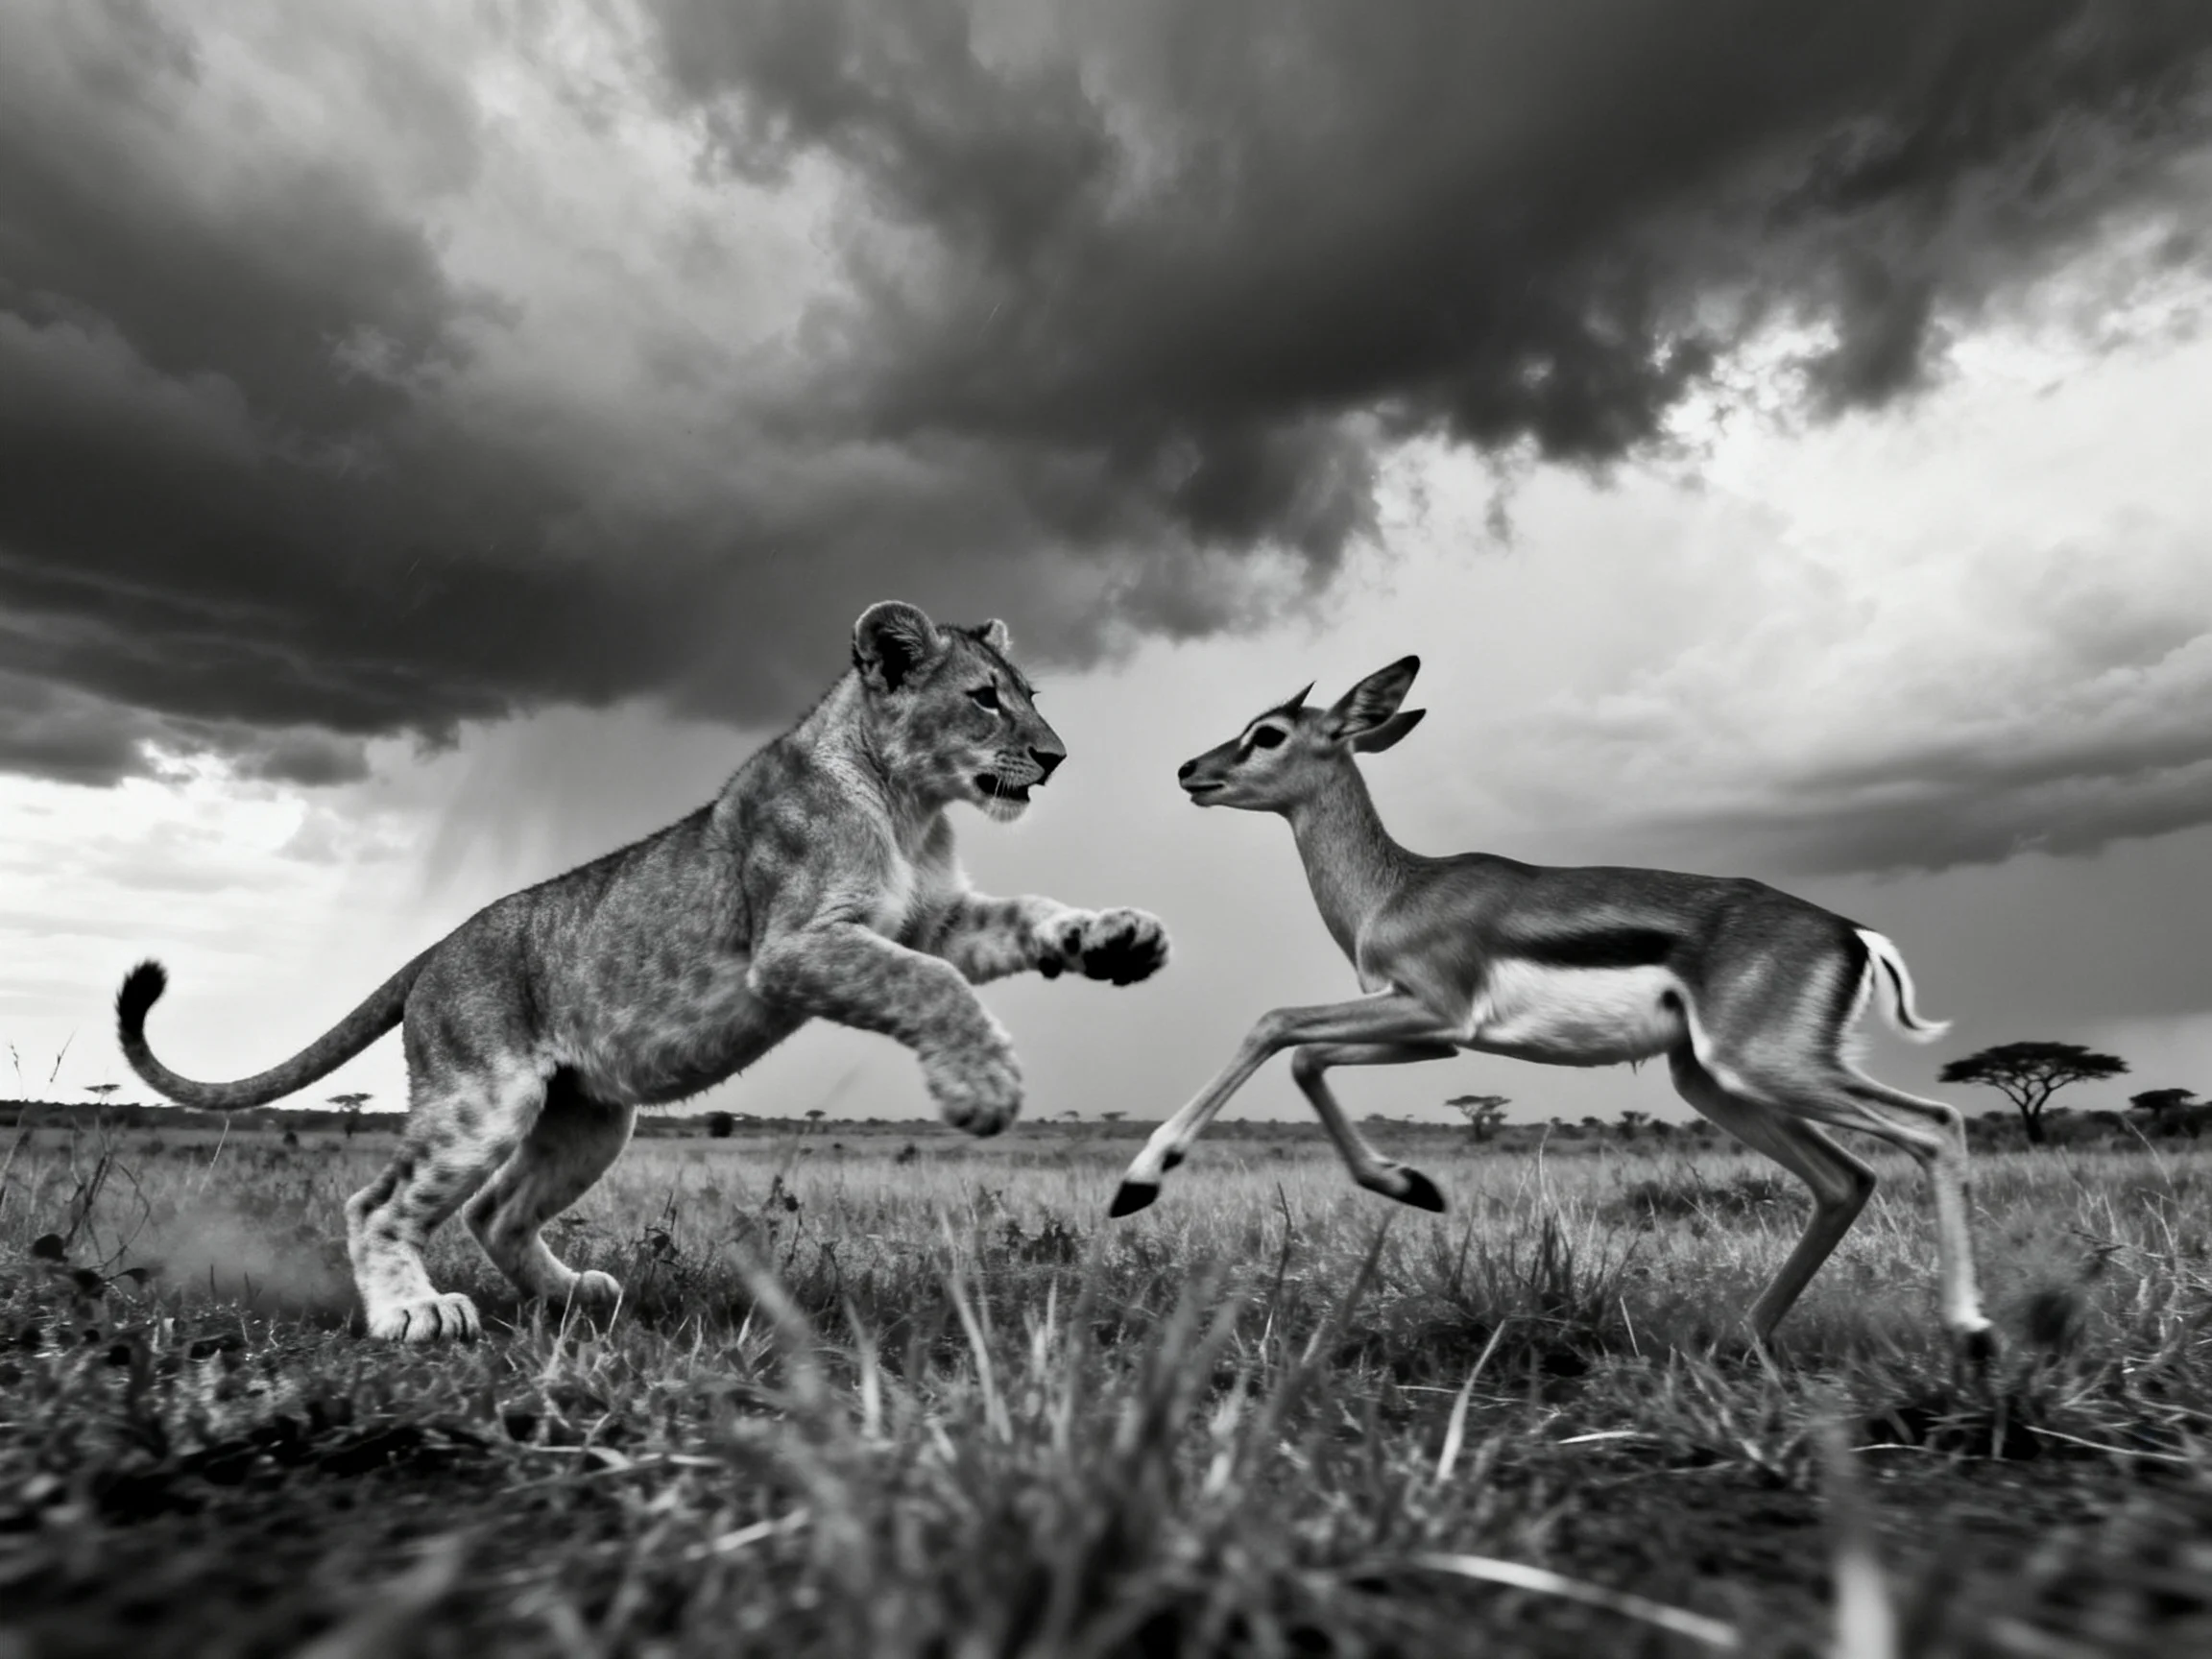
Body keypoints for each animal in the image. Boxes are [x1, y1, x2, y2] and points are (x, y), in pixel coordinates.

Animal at [117, 601, 1170, 1340]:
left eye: (1031, 694)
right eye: (984, 697)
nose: (1055, 757)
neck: (913, 808)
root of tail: (438, 946)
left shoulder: (938, 919)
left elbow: (1023, 918)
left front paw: (1118, 937)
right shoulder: (796, 945)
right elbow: (933, 985)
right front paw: (982, 1088)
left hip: (589, 1121)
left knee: (496, 1211)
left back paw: (574, 1296)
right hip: (481, 1100)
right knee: (378, 1202)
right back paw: (414, 1313)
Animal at [1111, 656, 1993, 1359]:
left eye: (1267, 734)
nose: (1191, 770)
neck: (1396, 890)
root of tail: (1849, 932)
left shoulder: (1432, 1012)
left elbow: (1274, 1026)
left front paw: (1140, 1180)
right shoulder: (1433, 1037)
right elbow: (1305, 1057)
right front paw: (1410, 1184)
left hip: (1769, 1066)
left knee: (1935, 1127)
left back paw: (1971, 1333)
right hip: (1715, 1081)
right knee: (1845, 1179)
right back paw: (1743, 1340)